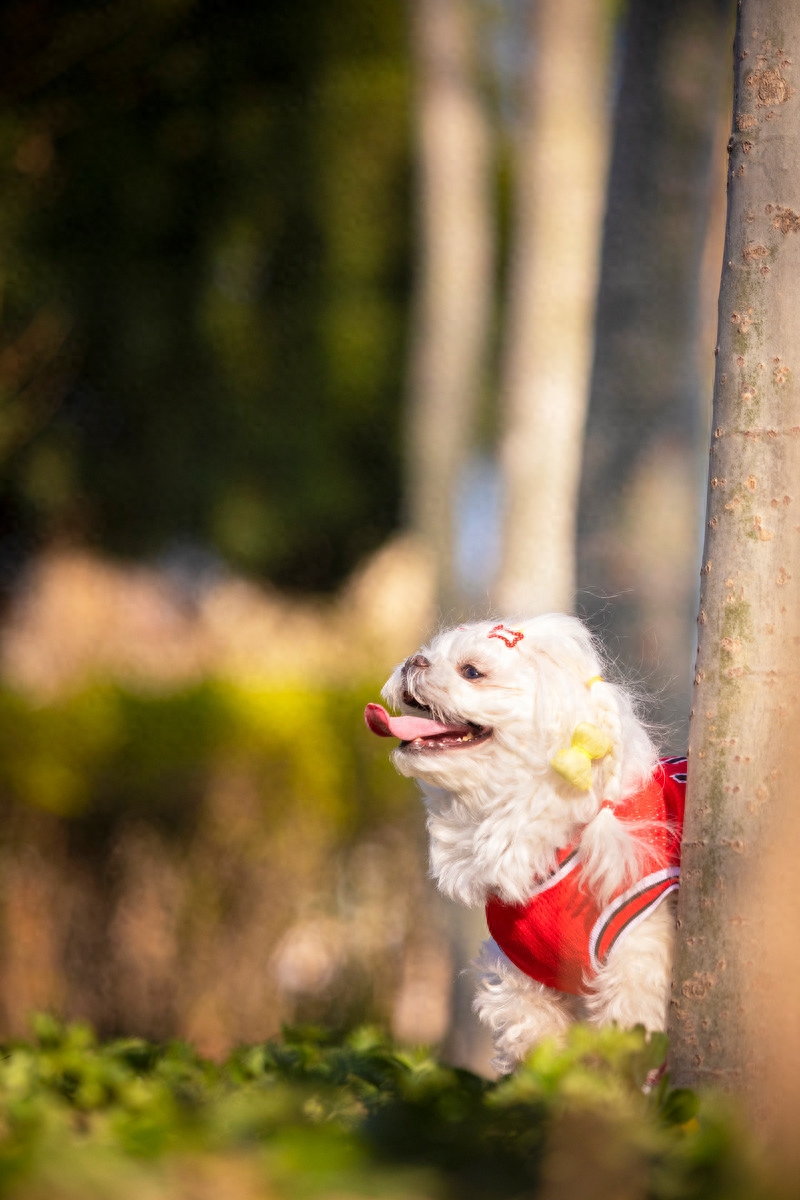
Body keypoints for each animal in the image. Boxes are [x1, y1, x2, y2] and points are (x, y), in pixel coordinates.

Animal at [367, 614, 686, 1075]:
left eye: (471, 672)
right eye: (426, 653)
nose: (415, 660)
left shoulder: (640, 953)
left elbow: (628, 1040)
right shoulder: (522, 974)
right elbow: (536, 1042)